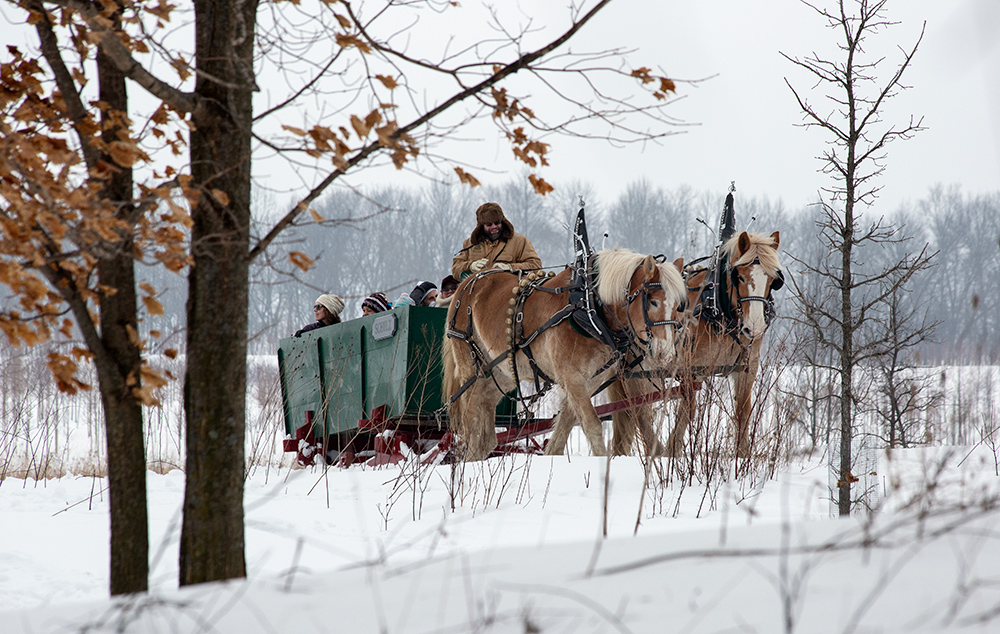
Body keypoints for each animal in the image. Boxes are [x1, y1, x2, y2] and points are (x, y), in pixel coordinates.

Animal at [446, 247, 688, 460]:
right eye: (653, 301)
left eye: (679, 305)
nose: (666, 353)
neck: (588, 308)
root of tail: (470, 280)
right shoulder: (572, 376)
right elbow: (592, 424)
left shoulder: (589, 380)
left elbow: (565, 425)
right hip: (470, 365)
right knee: (470, 417)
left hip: (502, 370)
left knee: (486, 418)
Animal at [604, 232, 784, 460]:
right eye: (740, 277)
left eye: (772, 280)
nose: (754, 327)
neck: (717, 310)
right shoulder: (691, 370)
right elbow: (687, 412)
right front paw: (672, 450)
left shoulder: (747, 368)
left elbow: (743, 411)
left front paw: (742, 456)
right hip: (637, 372)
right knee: (640, 413)